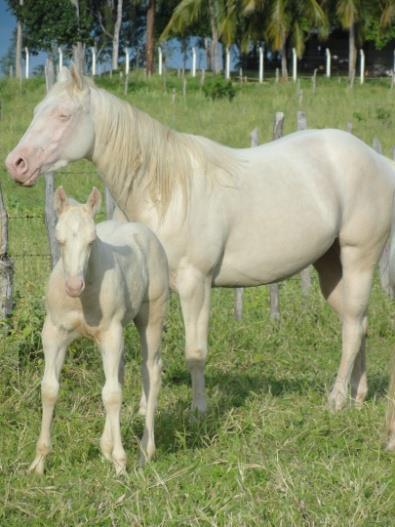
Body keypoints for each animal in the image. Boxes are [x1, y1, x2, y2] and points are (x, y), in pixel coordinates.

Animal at [5, 66, 395, 444]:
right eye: (37, 111)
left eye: (63, 114)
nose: (16, 163)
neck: (167, 191)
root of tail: (378, 159)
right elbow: (149, 354)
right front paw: (143, 410)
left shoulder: (196, 284)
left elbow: (195, 353)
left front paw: (197, 412)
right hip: (332, 269)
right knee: (357, 322)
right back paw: (358, 395)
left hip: (359, 260)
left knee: (351, 327)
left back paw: (337, 399)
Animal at [29, 188, 169, 476]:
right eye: (59, 240)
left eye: (92, 241)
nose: (73, 286)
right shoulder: (54, 333)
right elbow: (49, 389)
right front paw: (39, 462)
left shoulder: (111, 334)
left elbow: (112, 395)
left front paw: (120, 463)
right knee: (120, 373)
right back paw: (106, 447)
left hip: (151, 317)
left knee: (150, 371)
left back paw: (144, 452)